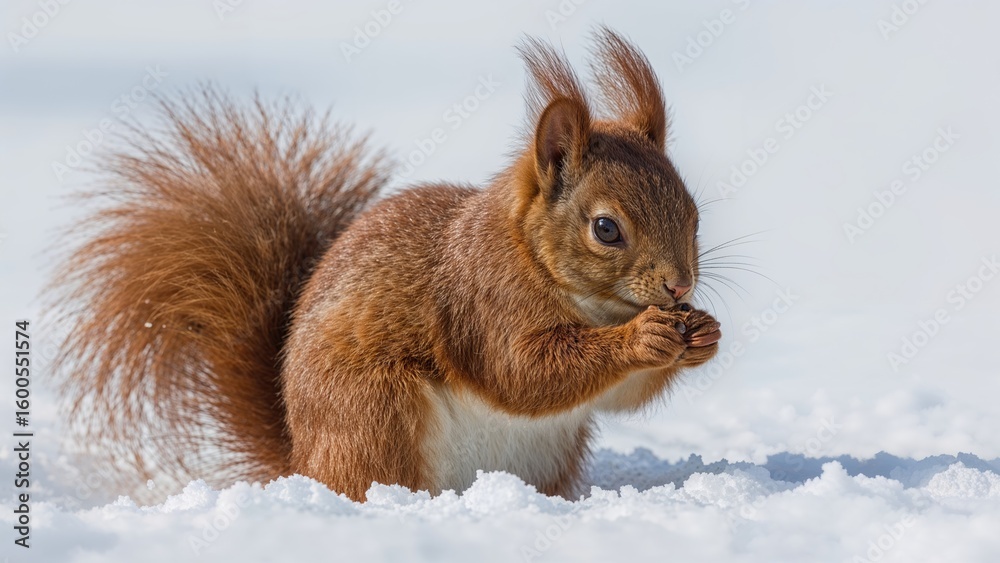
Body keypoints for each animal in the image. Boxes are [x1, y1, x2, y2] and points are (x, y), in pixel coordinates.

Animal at [48, 28, 721, 502]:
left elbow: (616, 398)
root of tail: (302, 464)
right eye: (606, 228)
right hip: (377, 409)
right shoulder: (483, 301)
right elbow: (524, 372)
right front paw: (644, 336)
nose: (679, 284)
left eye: (693, 211)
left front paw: (703, 334)